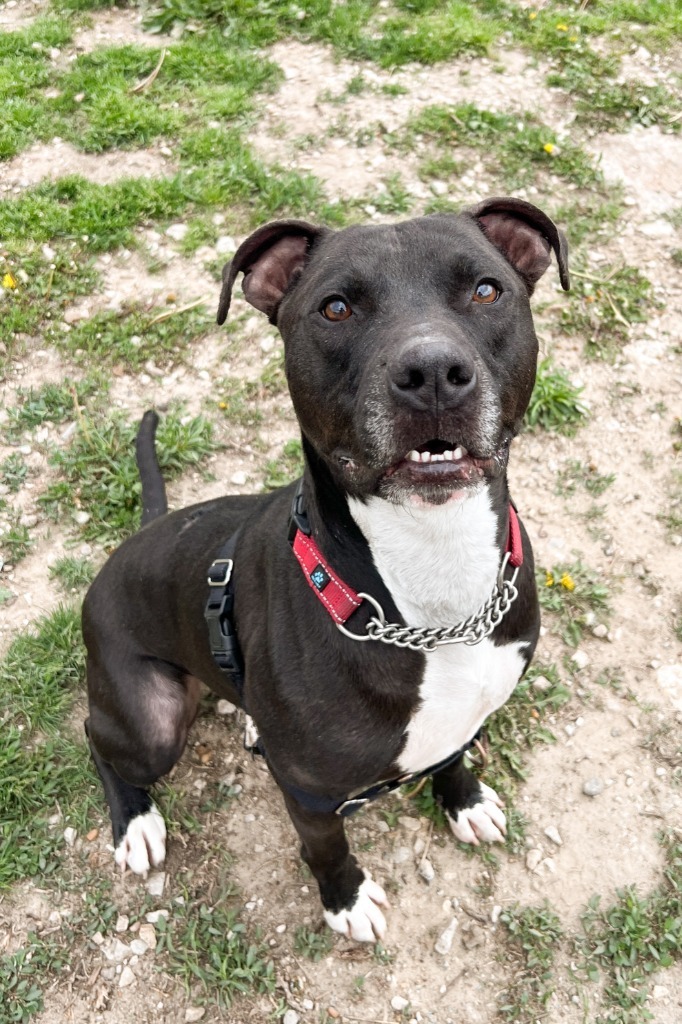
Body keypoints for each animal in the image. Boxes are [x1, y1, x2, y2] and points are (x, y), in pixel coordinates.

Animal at [80, 195, 569, 937]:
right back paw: (134, 820)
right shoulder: (308, 793)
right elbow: (326, 848)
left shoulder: (466, 713)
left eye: (487, 290)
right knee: (99, 738)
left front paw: (462, 799)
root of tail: (137, 539)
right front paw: (345, 899)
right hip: (150, 723)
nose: (431, 372)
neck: (433, 582)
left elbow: (453, 755)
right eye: (336, 308)